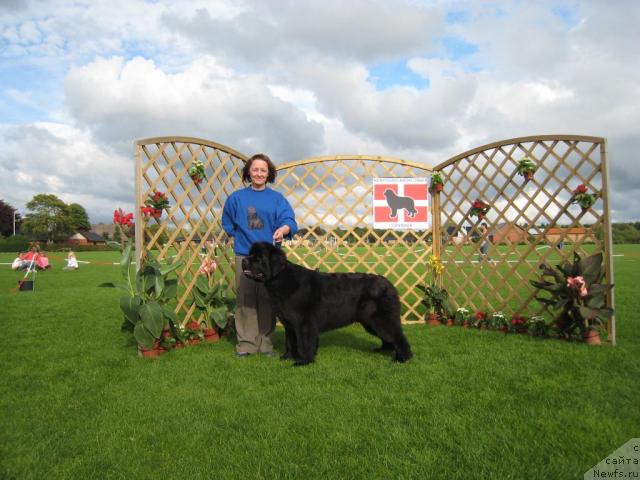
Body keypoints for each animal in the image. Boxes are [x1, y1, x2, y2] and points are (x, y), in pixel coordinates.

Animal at [242, 242, 412, 366]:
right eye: (250, 254)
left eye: (258, 258)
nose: (244, 260)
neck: (281, 279)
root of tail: (389, 283)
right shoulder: (289, 323)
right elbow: (290, 341)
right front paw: (287, 357)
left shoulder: (304, 323)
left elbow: (304, 343)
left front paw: (303, 361)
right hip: (371, 322)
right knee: (389, 337)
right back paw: (384, 350)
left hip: (380, 319)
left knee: (398, 337)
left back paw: (402, 358)